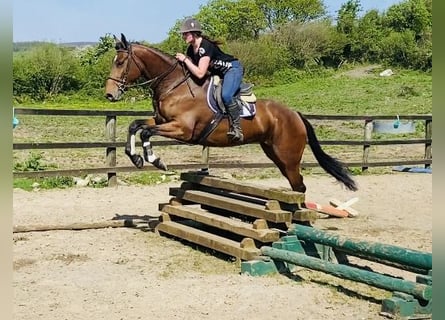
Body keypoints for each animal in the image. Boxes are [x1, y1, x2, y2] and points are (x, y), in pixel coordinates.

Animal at [104, 33, 358, 192]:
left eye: (120, 62)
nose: (109, 95)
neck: (174, 85)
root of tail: (295, 115)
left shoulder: (183, 130)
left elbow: (146, 132)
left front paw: (155, 161)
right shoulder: (161, 120)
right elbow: (135, 126)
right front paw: (136, 158)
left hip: (289, 156)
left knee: (299, 185)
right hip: (275, 153)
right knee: (296, 184)